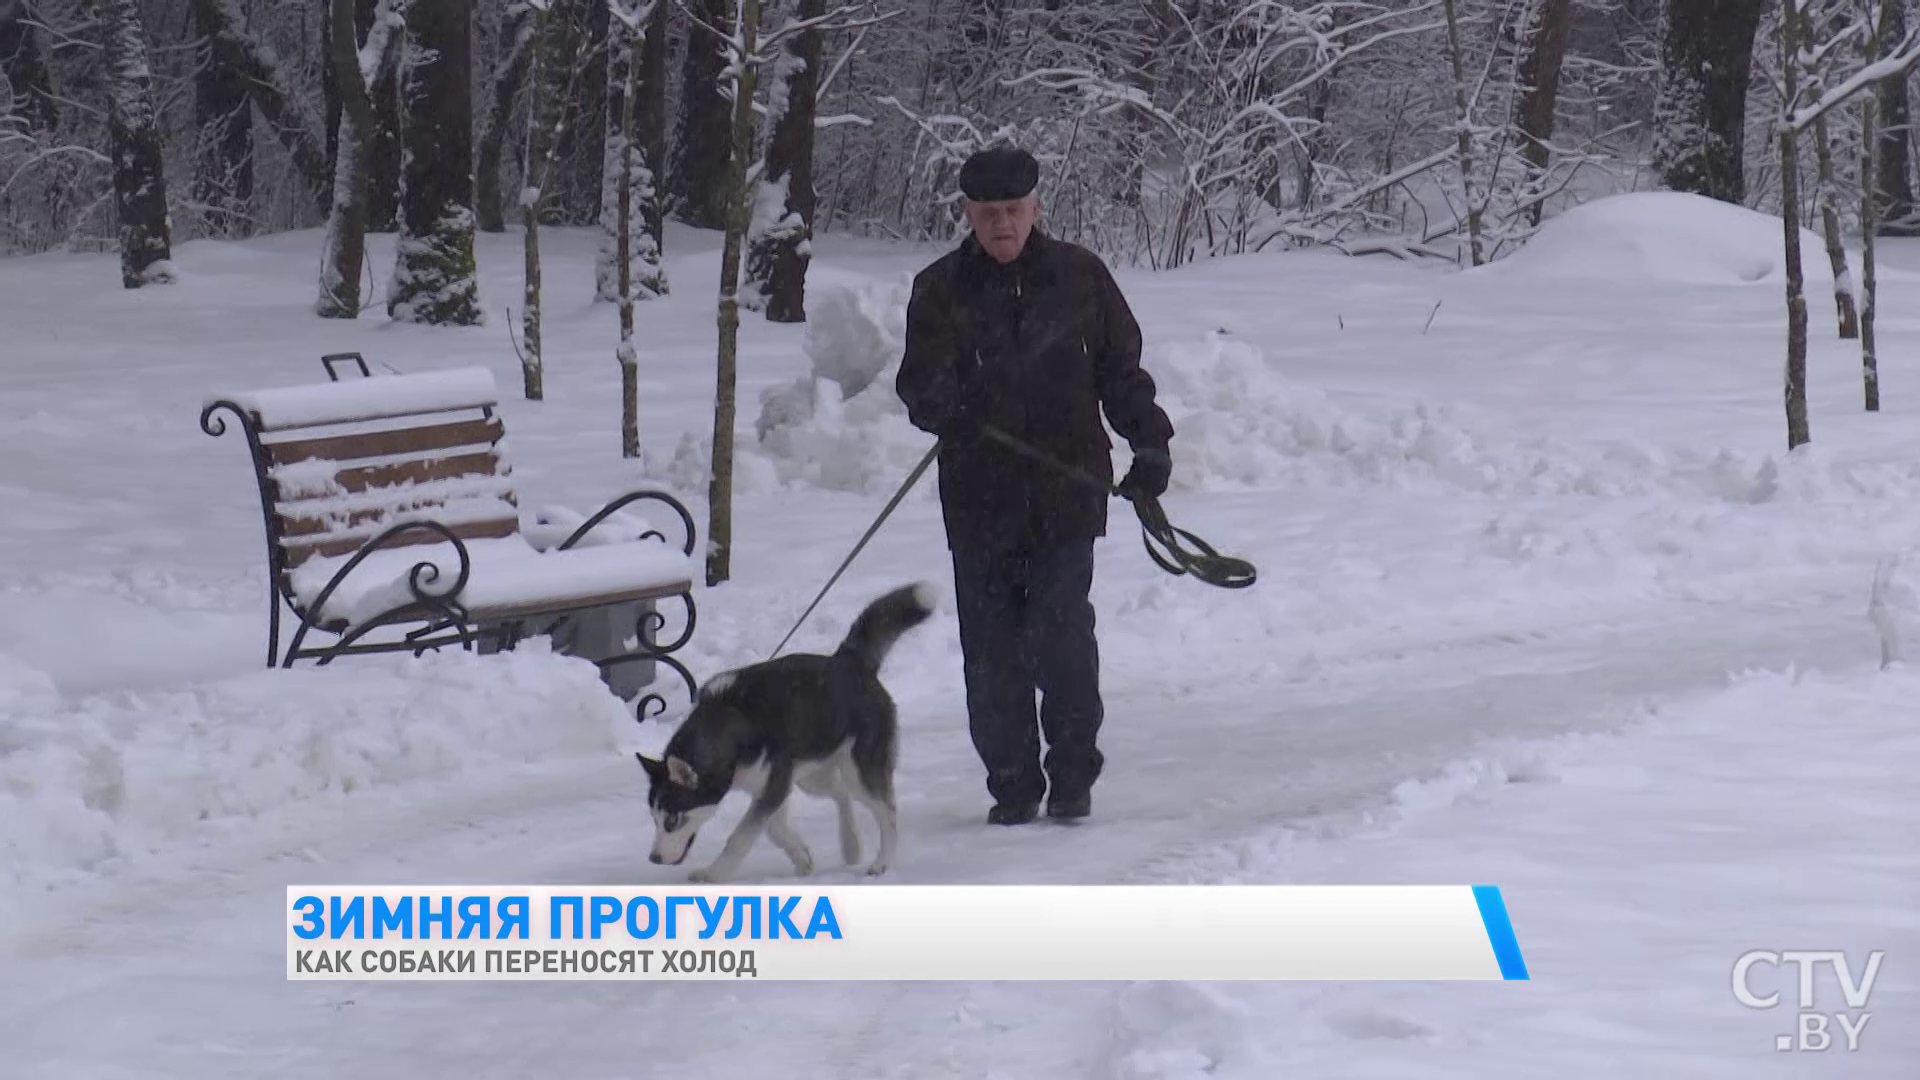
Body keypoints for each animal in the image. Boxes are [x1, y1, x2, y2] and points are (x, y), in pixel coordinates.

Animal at [637, 584, 936, 880]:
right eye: (653, 818)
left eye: (672, 820)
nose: (654, 858)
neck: (732, 725)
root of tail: (849, 661)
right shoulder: (773, 785)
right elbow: (773, 829)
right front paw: (802, 857)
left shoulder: (774, 785)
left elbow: (741, 836)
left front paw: (715, 873)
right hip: (812, 775)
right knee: (842, 793)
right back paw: (851, 846)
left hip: (859, 769)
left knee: (887, 811)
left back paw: (882, 862)